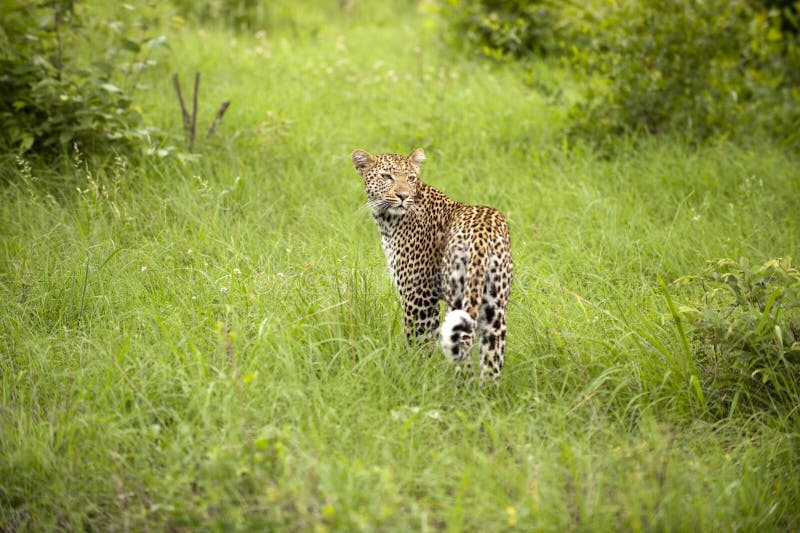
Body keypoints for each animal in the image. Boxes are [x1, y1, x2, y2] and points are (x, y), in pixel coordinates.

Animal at [350, 148, 512, 380]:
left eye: (410, 178)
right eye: (386, 176)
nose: (402, 196)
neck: (387, 221)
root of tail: (482, 236)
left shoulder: (419, 297)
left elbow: (418, 344)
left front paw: (410, 373)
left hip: (457, 298)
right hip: (495, 307)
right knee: (492, 361)